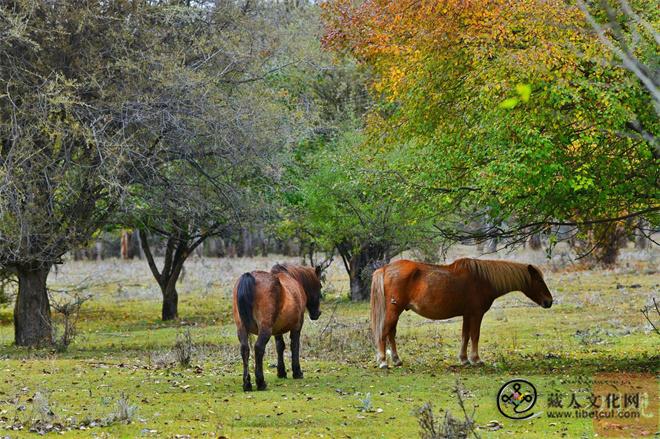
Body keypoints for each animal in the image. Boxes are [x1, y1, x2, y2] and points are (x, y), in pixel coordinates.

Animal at [235, 264, 322, 392]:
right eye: (320, 286)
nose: (317, 313)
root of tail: (249, 277)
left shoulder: (277, 331)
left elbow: (280, 346)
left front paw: (281, 372)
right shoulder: (297, 327)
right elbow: (294, 346)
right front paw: (297, 372)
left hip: (242, 329)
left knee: (245, 349)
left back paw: (247, 384)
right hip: (265, 329)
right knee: (258, 348)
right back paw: (261, 383)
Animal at [372, 258, 552, 368]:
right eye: (539, 280)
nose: (549, 301)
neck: (482, 279)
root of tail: (385, 268)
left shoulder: (467, 315)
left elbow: (465, 336)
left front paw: (464, 359)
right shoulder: (476, 314)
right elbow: (475, 336)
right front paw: (476, 359)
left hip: (396, 311)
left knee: (391, 333)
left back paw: (396, 360)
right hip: (394, 310)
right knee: (383, 332)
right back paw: (383, 361)